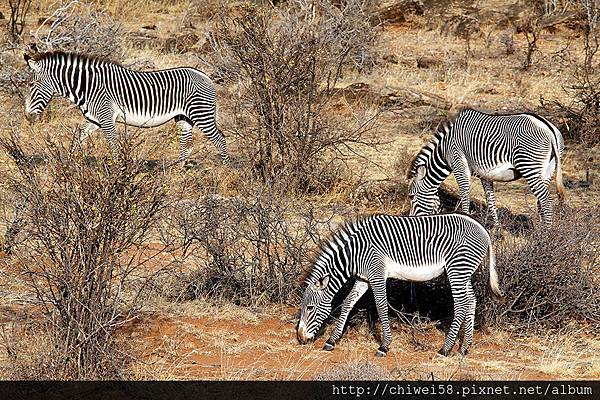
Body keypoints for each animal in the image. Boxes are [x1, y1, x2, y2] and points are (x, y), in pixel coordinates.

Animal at [24, 51, 230, 164]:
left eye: (31, 85)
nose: (27, 117)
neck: (88, 87)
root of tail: (205, 75)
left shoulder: (106, 118)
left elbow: (113, 146)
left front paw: (116, 175)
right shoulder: (94, 120)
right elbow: (76, 141)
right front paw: (67, 166)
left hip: (201, 114)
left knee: (220, 139)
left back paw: (226, 168)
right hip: (184, 117)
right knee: (186, 145)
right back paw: (178, 173)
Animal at [296, 214, 502, 358]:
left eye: (310, 308)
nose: (300, 338)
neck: (355, 253)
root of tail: (484, 230)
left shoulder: (377, 275)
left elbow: (381, 307)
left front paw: (384, 346)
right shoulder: (364, 278)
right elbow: (347, 303)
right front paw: (332, 340)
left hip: (457, 269)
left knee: (461, 305)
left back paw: (444, 349)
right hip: (463, 272)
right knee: (471, 301)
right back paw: (464, 348)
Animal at [406, 108, 564, 227]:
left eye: (411, 196)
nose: (411, 219)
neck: (444, 151)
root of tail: (548, 128)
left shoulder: (459, 166)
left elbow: (465, 197)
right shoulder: (485, 175)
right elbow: (491, 201)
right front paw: (497, 231)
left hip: (529, 166)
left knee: (545, 201)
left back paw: (547, 234)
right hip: (547, 171)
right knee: (540, 201)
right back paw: (541, 232)